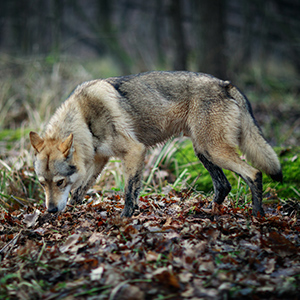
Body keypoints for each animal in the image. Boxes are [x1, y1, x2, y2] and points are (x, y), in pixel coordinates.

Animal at [29, 72, 282, 218]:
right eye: (42, 184)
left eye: (60, 182)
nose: (50, 210)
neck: (85, 118)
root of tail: (226, 84)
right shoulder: (100, 159)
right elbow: (79, 192)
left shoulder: (135, 151)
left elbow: (129, 191)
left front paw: (125, 218)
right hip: (203, 151)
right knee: (223, 185)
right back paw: (208, 215)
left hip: (214, 151)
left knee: (254, 174)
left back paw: (257, 215)